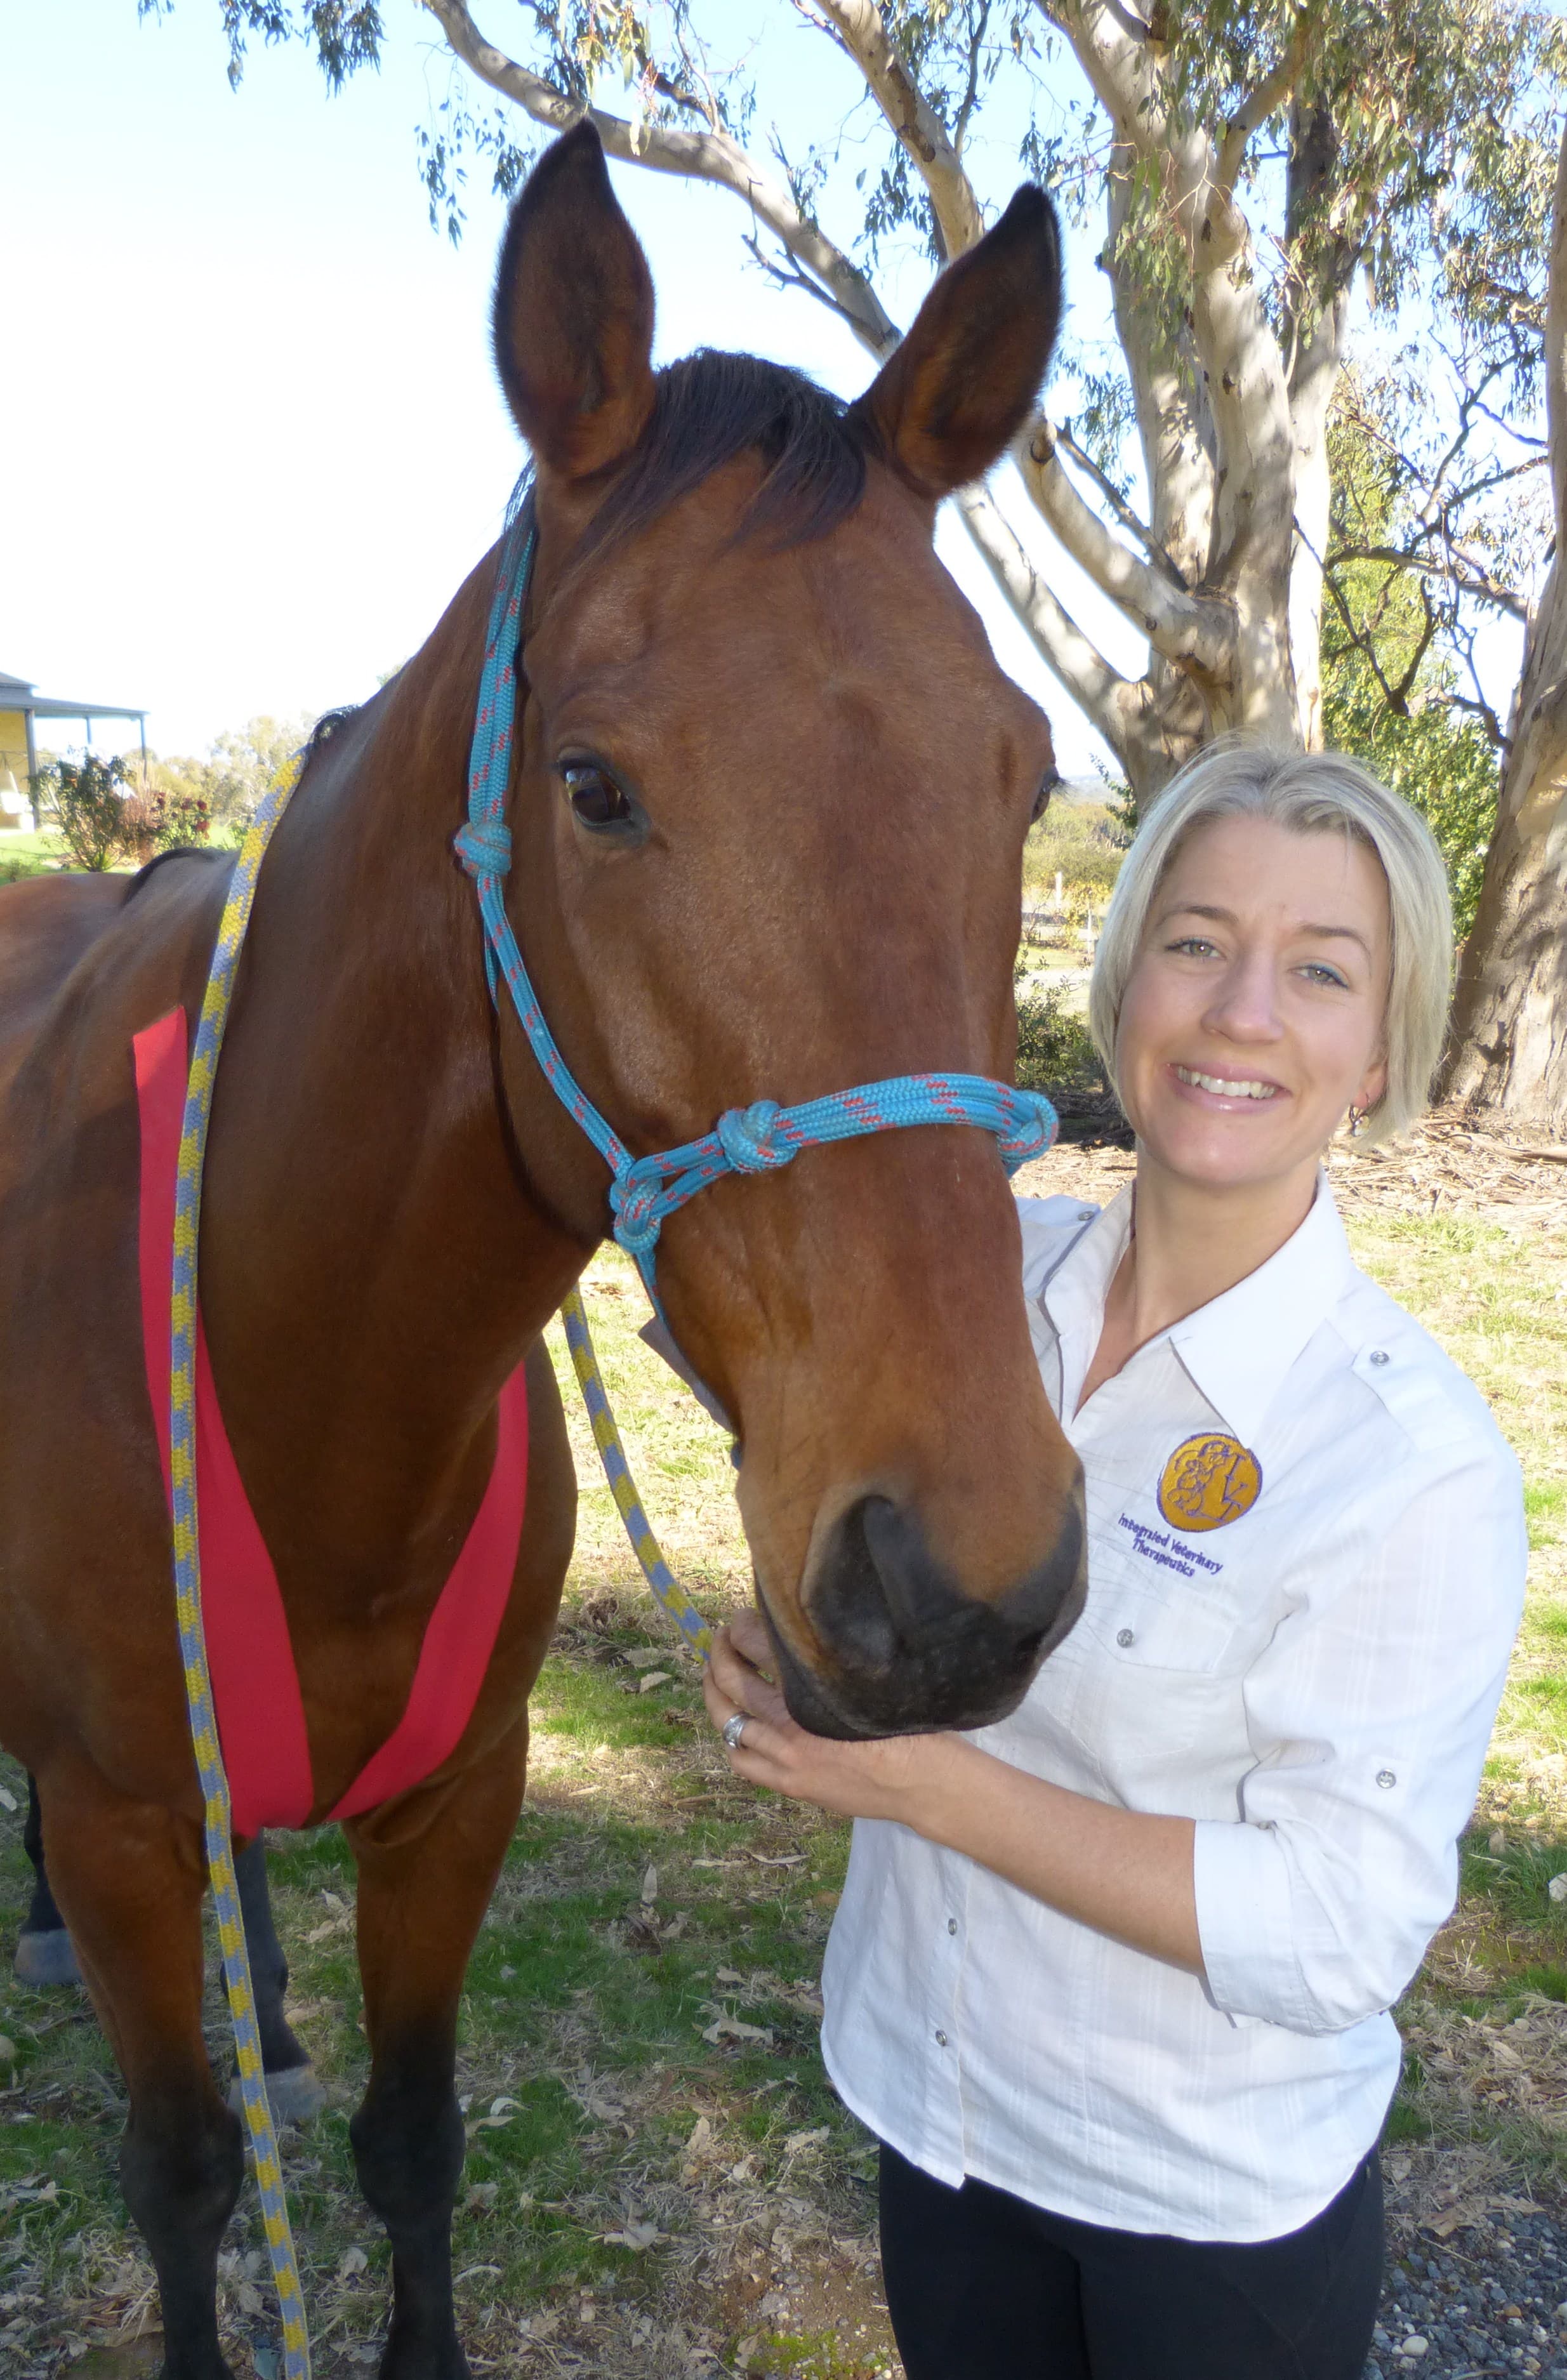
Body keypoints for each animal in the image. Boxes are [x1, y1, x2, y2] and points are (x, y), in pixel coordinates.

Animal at [0, 123, 1082, 2380]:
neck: (297, 1365)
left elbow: (412, 2146)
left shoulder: (458, 1800)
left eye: (1024, 775)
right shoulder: (125, 1823)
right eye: (590, 784)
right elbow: (180, 2177)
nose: (959, 1576)